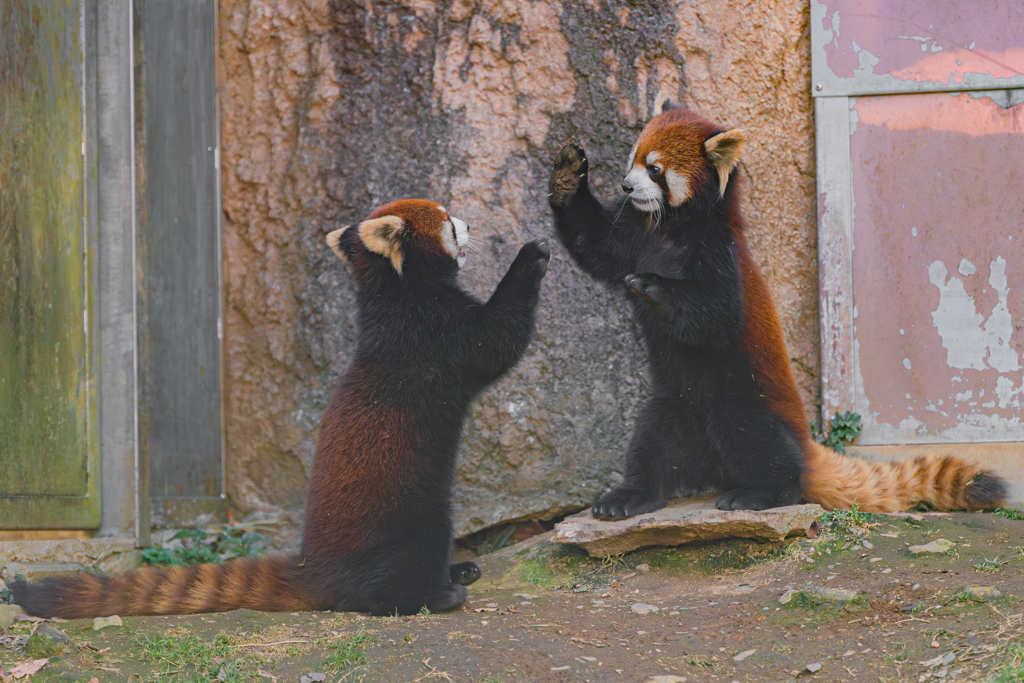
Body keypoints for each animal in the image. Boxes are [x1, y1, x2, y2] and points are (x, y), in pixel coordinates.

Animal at [9, 198, 552, 618]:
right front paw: (532, 254)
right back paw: (433, 595)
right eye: (445, 218)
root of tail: (314, 568)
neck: (399, 293)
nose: (470, 223)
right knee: (382, 580)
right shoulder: (439, 339)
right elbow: (498, 340)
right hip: (408, 516)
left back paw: (456, 570)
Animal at [548, 100, 1003, 518]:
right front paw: (568, 174)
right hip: (672, 405)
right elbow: (592, 243)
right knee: (651, 444)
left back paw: (761, 493)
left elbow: (718, 315)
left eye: (655, 169)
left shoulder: (718, 254)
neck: (668, 232)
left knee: (763, 446)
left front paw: (651, 286)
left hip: (747, 401)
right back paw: (630, 496)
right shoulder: (631, 236)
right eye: (634, 160)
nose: (627, 187)